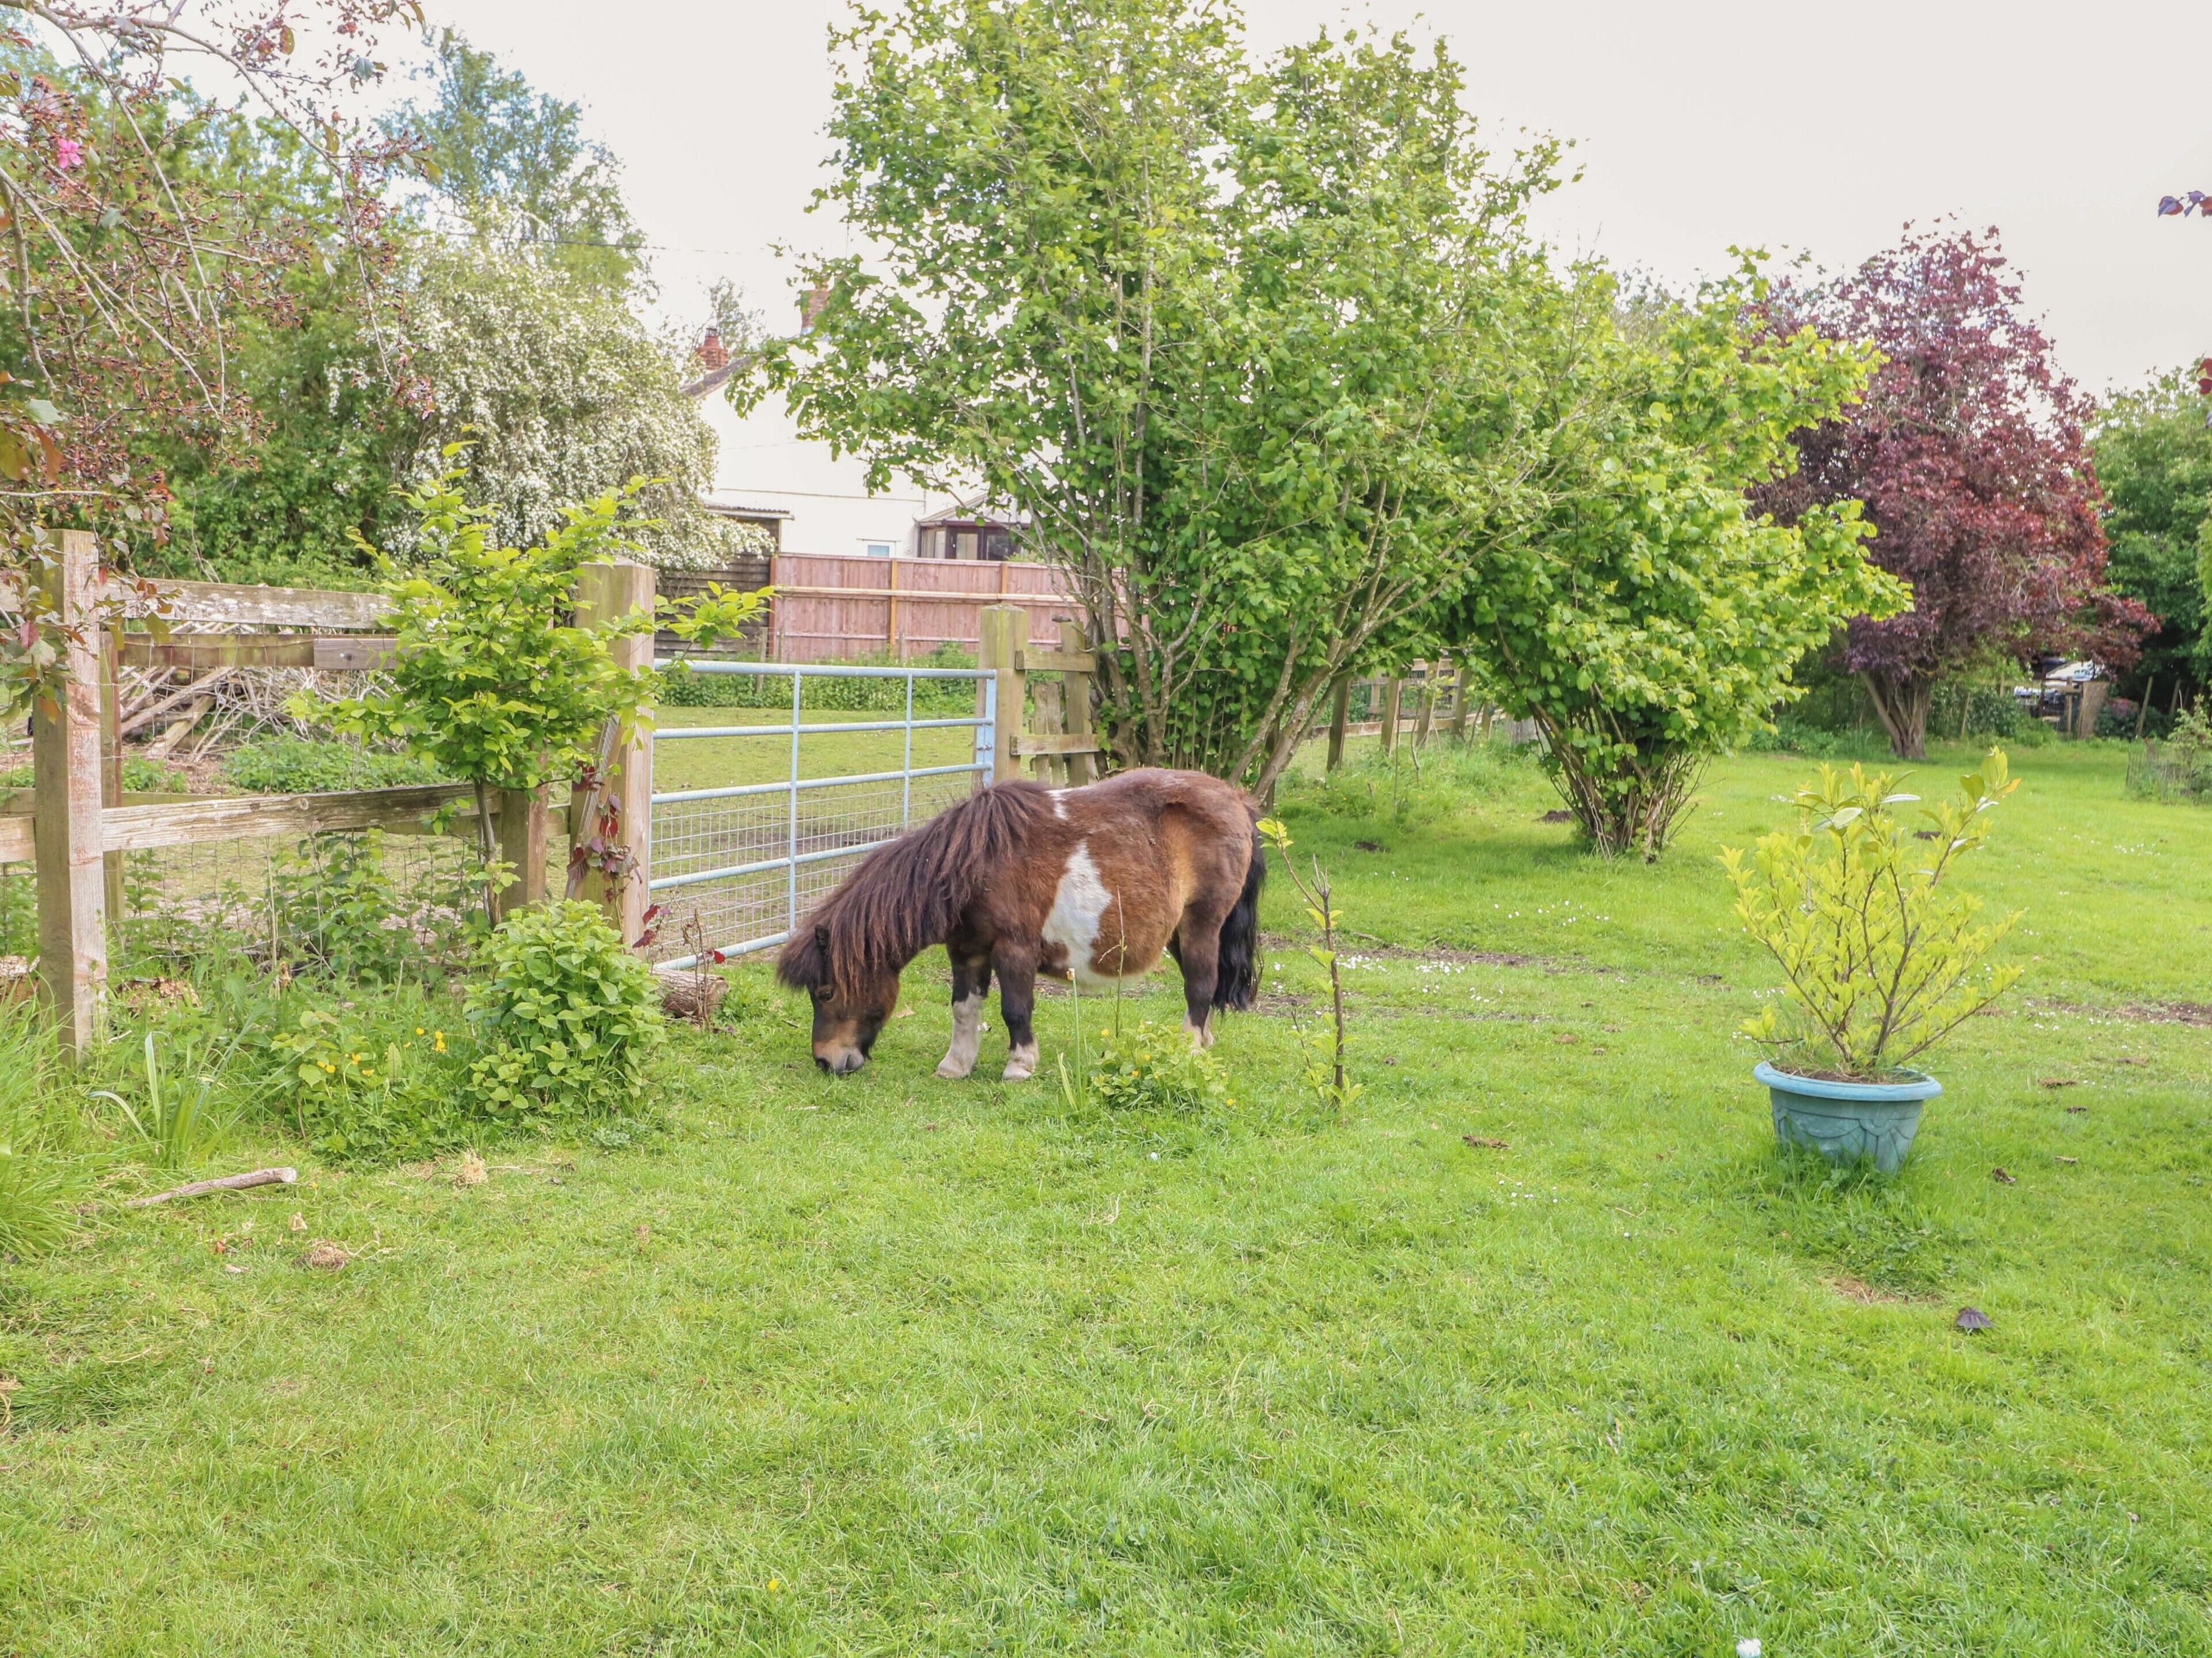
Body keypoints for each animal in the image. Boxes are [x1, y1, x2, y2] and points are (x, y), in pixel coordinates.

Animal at [776, 768, 1266, 1078]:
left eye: (825, 992)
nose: (825, 1061)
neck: (972, 866)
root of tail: (1236, 800)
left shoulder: (1015, 948)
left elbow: (1015, 1008)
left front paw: (1020, 1065)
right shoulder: (967, 950)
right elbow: (964, 1009)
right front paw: (956, 1066)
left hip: (1202, 925)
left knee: (1200, 987)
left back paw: (1188, 1050)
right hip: (1180, 934)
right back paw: (1203, 1044)